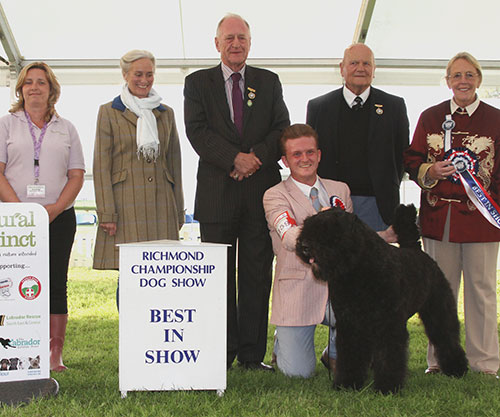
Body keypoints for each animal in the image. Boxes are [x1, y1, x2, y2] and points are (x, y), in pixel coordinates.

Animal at [294, 205, 466, 394]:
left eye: (331, 230)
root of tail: (418, 252)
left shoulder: (388, 325)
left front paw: (387, 388)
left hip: (438, 311)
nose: (304, 246)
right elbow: (350, 355)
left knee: (446, 336)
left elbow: (388, 357)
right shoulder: (350, 325)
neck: (358, 268)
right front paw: (347, 384)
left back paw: (457, 369)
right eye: (307, 224)